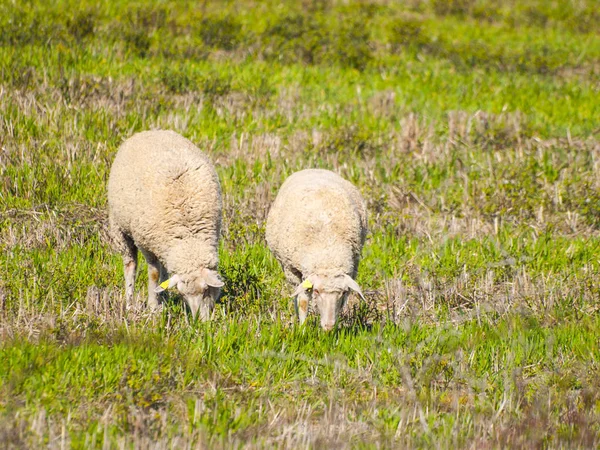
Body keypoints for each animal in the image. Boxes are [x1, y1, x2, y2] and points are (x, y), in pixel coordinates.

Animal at [106, 130, 224, 320]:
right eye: (182, 294)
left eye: (206, 290)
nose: (200, 322)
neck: (188, 235)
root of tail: (148, 131)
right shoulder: (146, 243)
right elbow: (153, 273)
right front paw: (153, 307)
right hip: (120, 228)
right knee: (130, 265)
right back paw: (130, 304)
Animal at [266, 169, 368, 330]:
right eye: (316, 290)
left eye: (343, 293)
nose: (329, 326)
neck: (327, 250)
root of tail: (314, 169)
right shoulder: (293, 269)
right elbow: (302, 301)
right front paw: (302, 328)